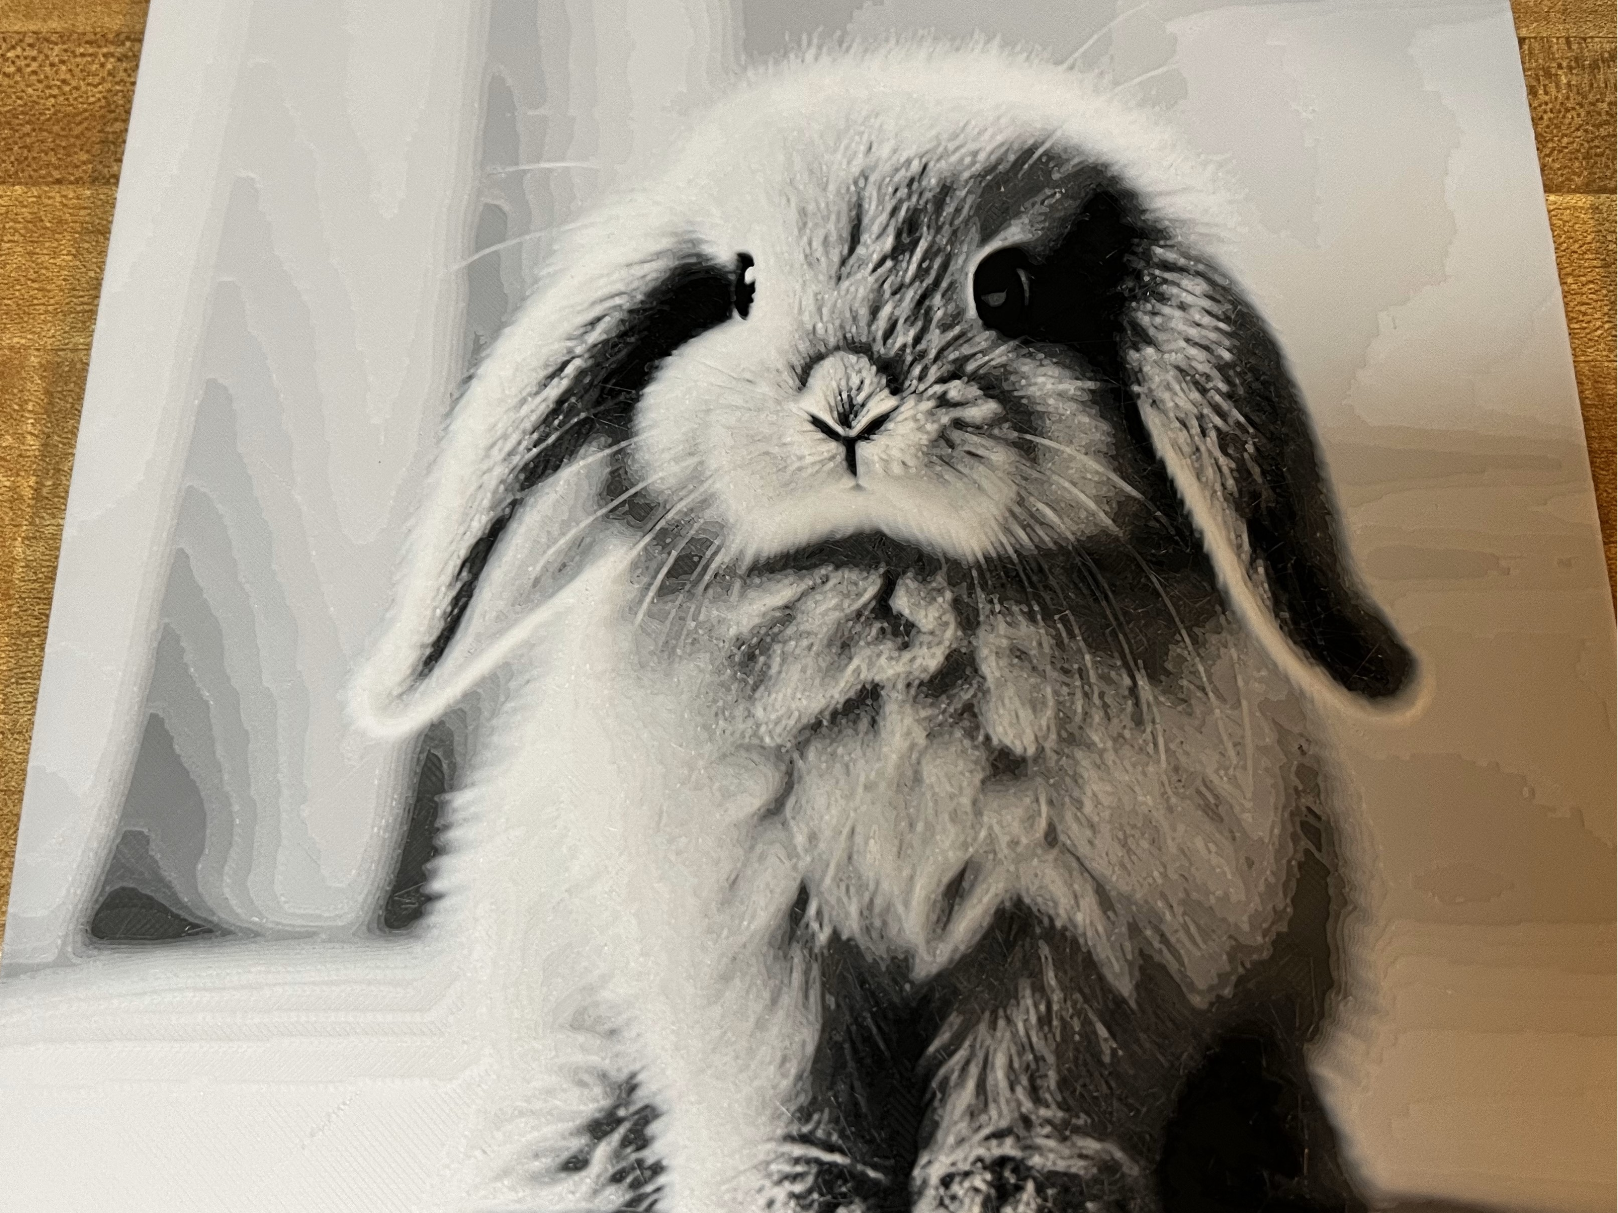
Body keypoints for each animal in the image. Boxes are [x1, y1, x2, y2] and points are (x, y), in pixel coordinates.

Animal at [352, 41, 1418, 1213]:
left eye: (1005, 287)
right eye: (743, 285)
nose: (849, 399)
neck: (889, 571)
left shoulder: (1081, 934)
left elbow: (1040, 1081)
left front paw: (1013, 1194)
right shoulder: (754, 936)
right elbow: (781, 1083)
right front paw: (788, 1194)